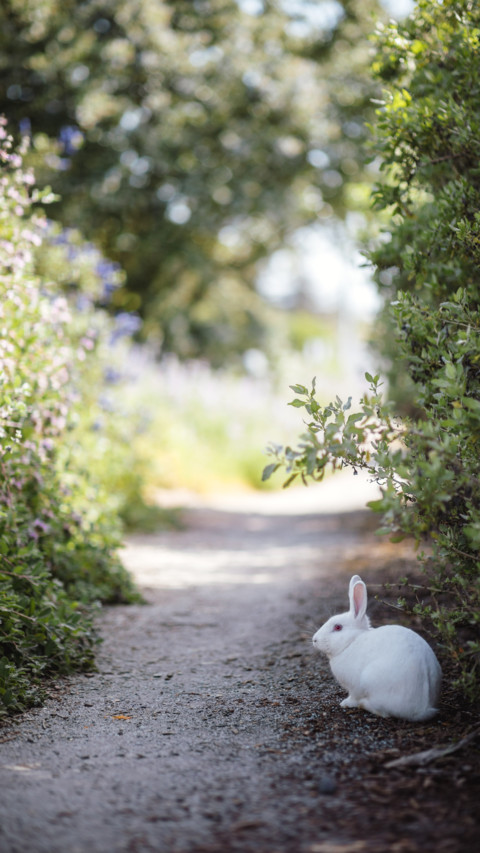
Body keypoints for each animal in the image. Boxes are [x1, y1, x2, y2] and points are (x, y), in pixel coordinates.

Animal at [312, 574, 442, 721]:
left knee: (384, 713)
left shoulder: (354, 687)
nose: (314, 640)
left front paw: (345, 703)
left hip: (371, 680)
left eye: (338, 627)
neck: (352, 641)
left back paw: (363, 704)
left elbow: (353, 697)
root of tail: (422, 709)